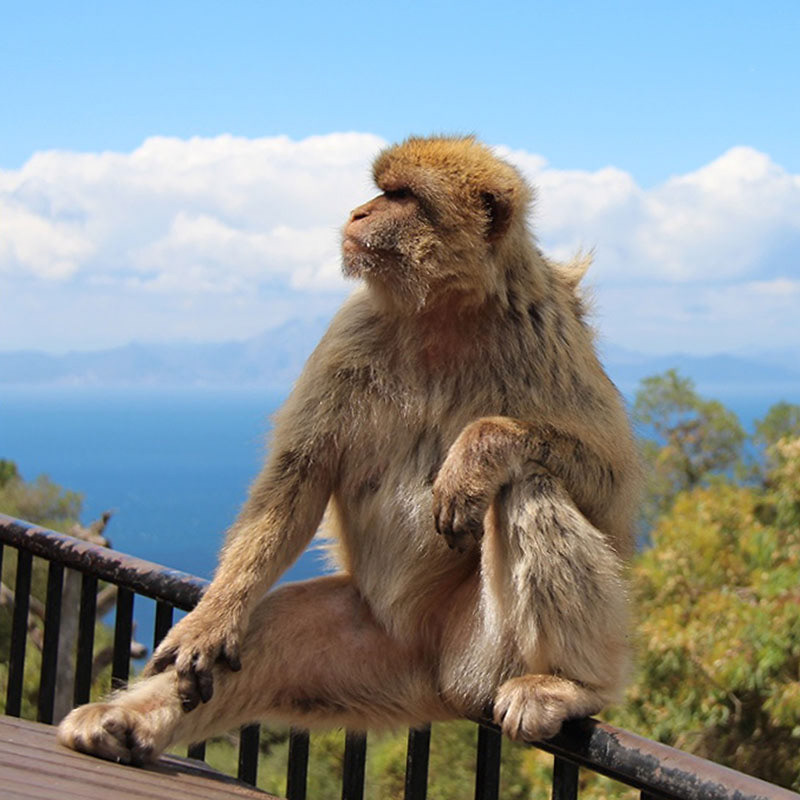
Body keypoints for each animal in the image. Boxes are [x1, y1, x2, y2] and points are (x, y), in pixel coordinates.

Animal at [58, 135, 640, 765]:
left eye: (402, 196)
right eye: (383, 191)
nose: (360, 212)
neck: (442, 315)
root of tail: (433, 676)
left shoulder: (544, 328)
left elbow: (611, 483)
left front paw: (476, 454)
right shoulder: (350, 334)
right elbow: (297, 481)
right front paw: (210, 621)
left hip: (488, 651)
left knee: (528, 486)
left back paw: (571, 684)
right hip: (368, 648)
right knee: (266, 633)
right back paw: (125, 719)